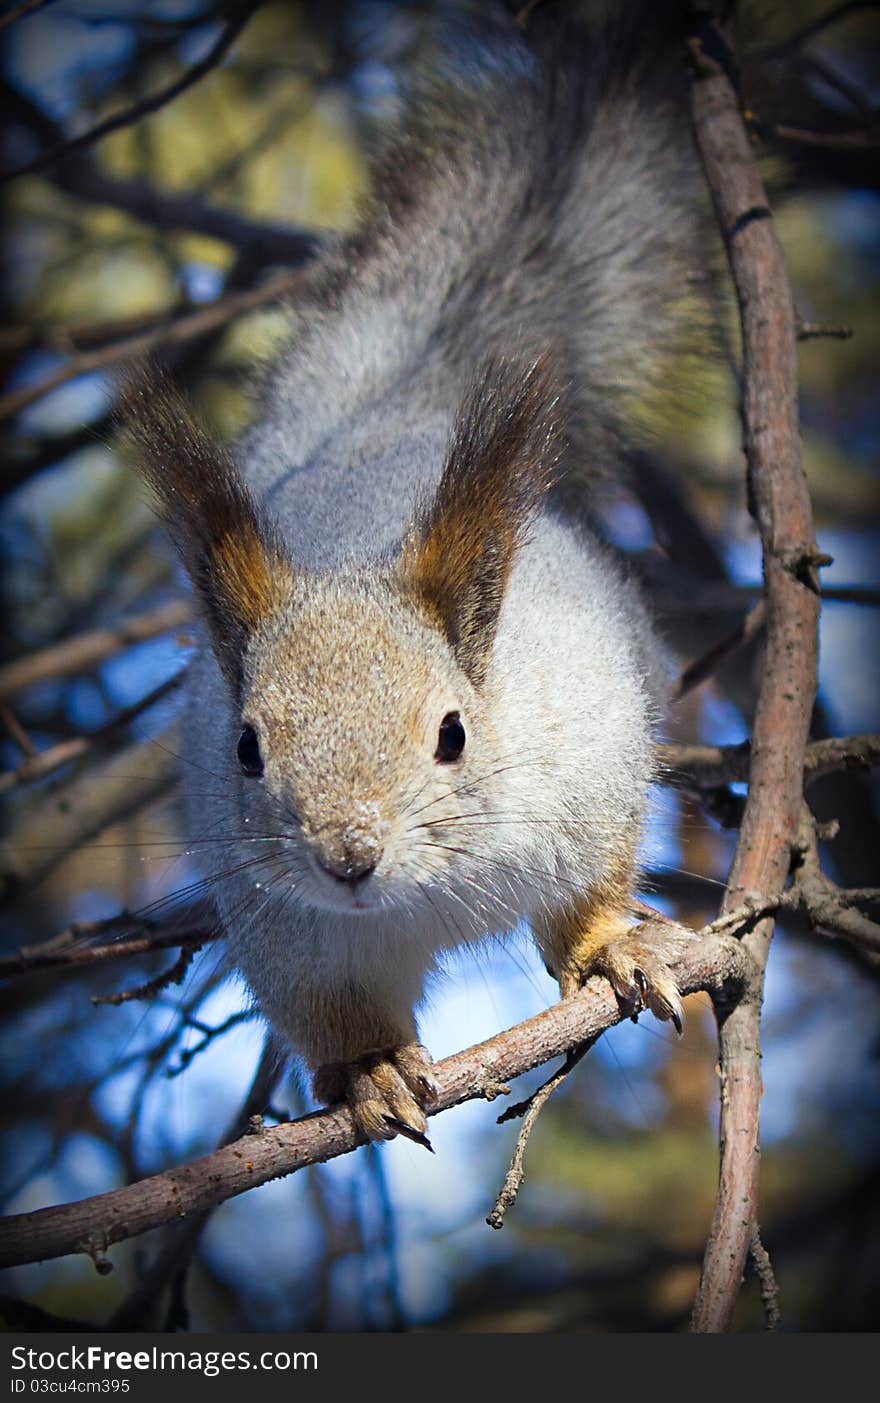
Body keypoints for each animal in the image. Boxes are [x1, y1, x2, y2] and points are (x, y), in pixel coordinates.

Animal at [124, 5, 704, 1150]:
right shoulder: (289, 933)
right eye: (247, 748)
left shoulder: (588, 775)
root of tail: (381, 430)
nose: (348, 858)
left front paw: (609, 946)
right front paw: (368, 1068)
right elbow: (332, 1012)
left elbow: (593, 888)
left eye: (453, 733)